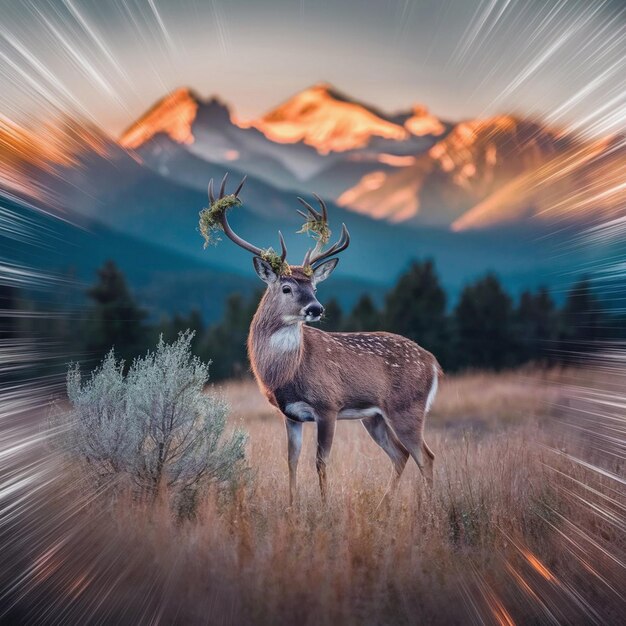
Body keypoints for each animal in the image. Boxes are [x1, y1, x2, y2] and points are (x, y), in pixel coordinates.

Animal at [204, 173, 438, 504]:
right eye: (287, 287)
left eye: (315, 287)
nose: (316, 308)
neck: (287, 373)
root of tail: (433, 362)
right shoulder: (290, 414)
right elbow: (291, 460)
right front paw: (291, 506)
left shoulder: (328, 405)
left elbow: (320, 461)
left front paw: (325, 507)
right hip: (375, 416)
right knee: (401, 454)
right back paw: (384, 507)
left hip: (407, 407)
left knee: (425, 456)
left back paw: (429, 508)